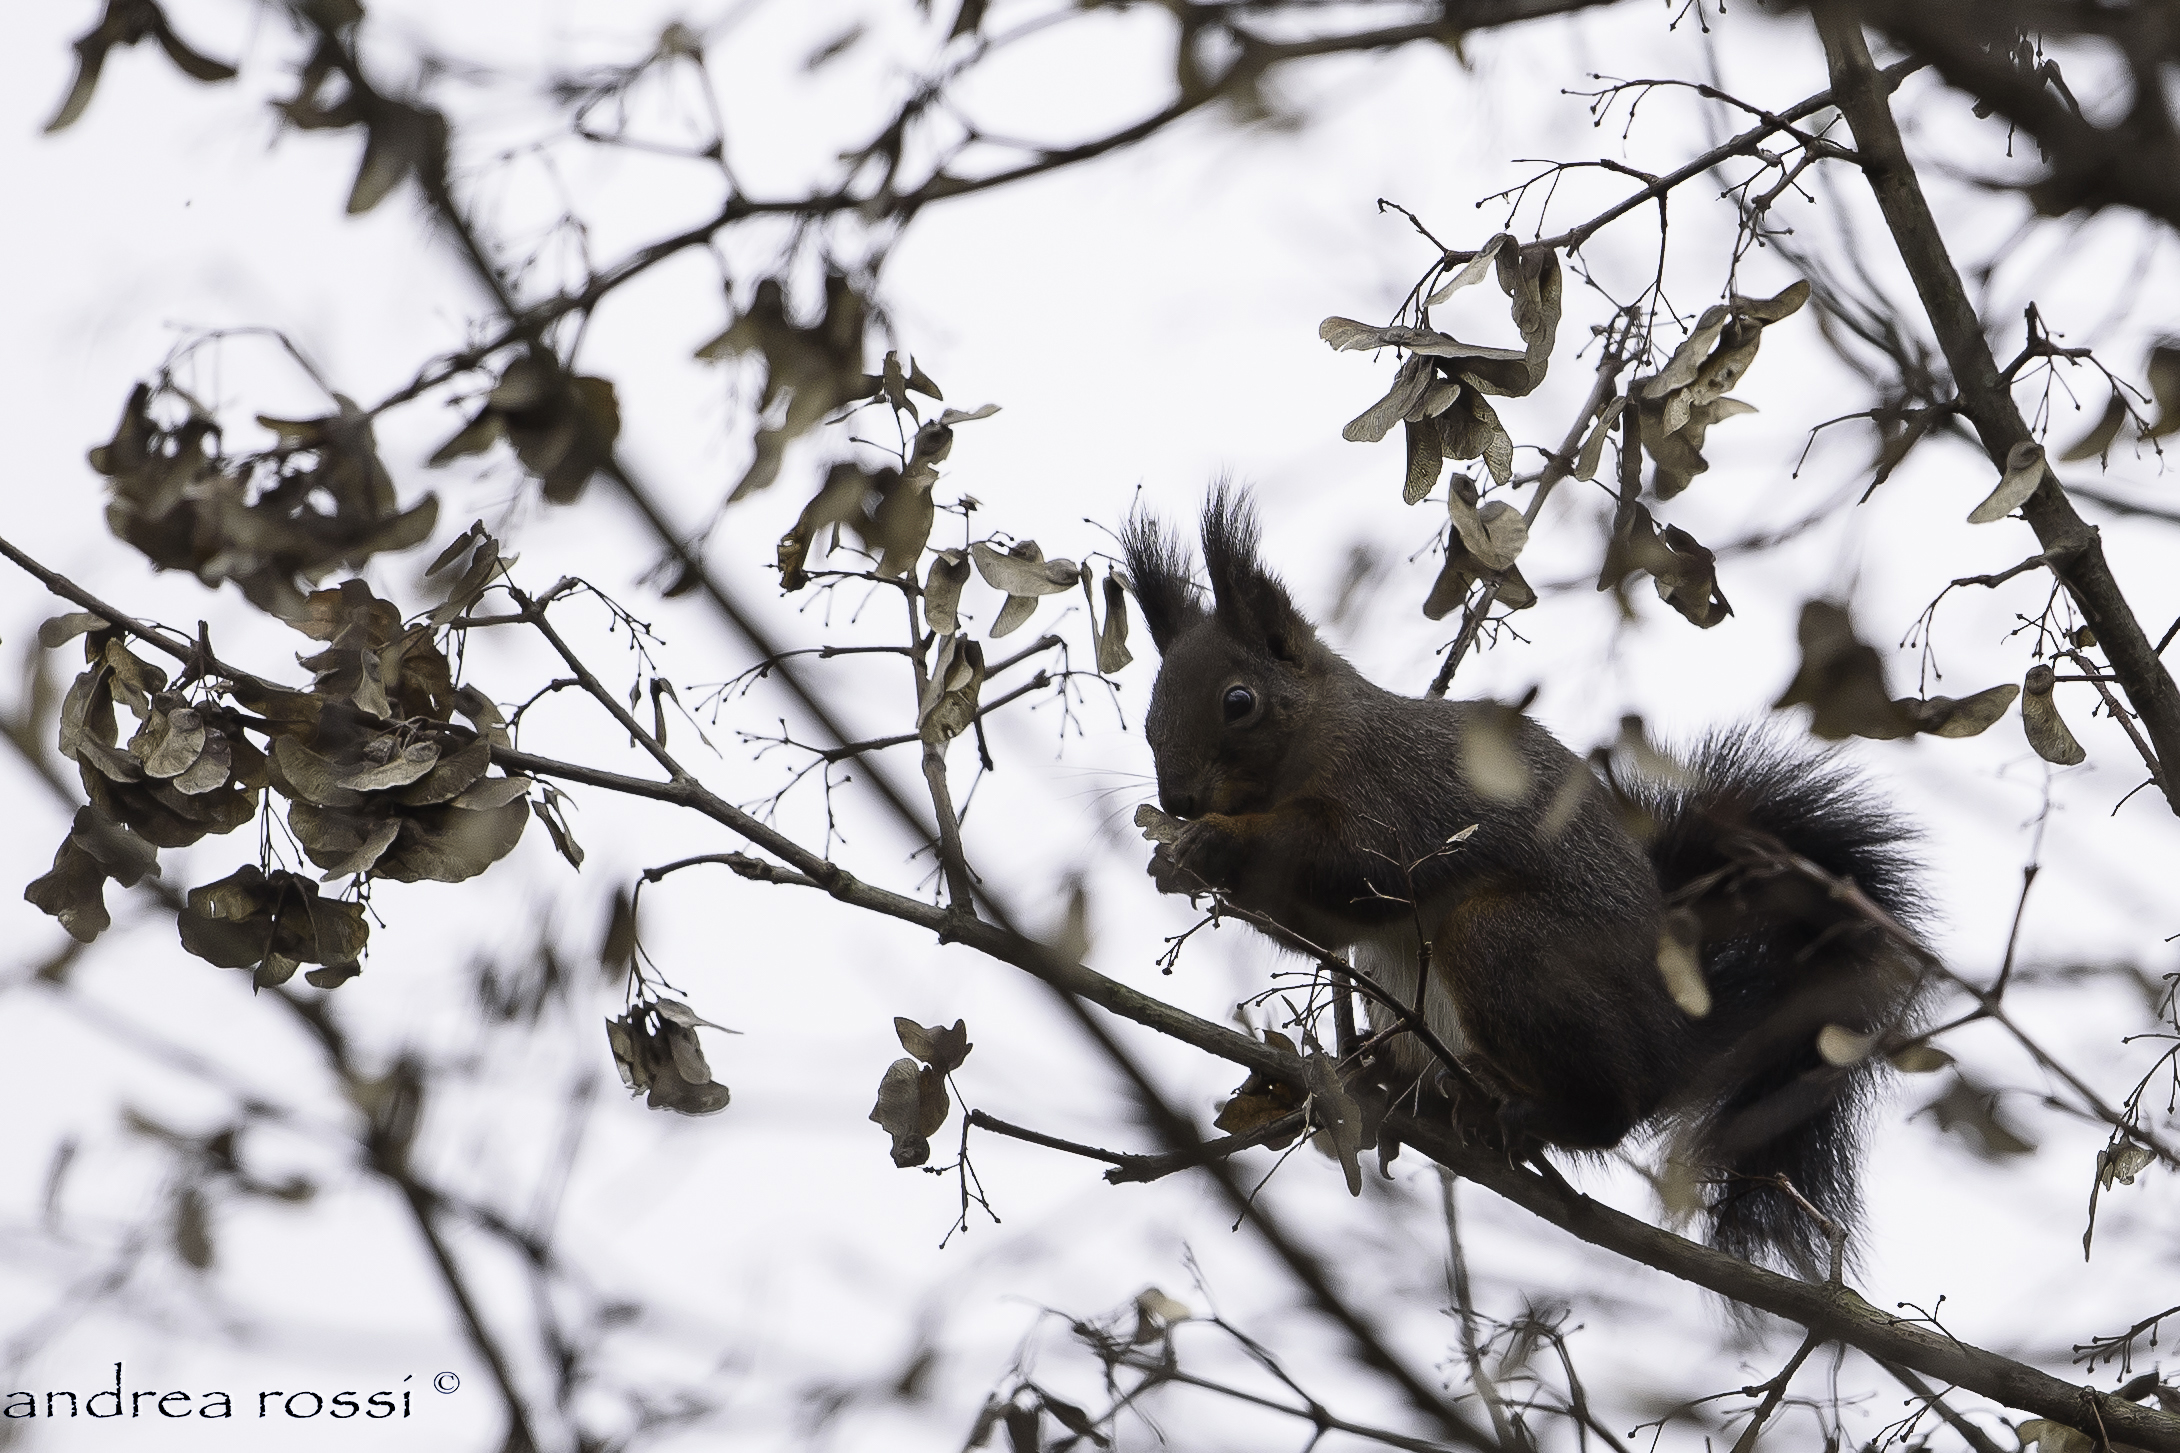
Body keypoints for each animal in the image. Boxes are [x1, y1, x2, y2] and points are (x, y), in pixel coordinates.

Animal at [1122, 487, 1925, 1274]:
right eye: (1148, 713)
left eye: (1238, 701)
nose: (1178, 801)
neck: (1322, 738)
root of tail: (1677, 1044)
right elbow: (1323, 926)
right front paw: (1172, 864)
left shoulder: (1396, 799)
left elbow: (1353, 865)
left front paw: (1219, 842)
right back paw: (1391, 1081)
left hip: (1507, 945)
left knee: (1609, 1113)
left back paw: (1521, 1110)